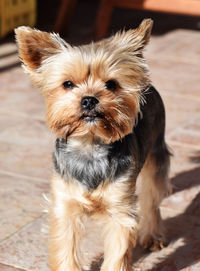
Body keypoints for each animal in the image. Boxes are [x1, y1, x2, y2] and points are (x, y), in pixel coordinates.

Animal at [15, 20, 170, 271]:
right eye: (67, 84)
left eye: (111, 84)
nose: (89, 99)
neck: (89, 145)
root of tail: (147, 84)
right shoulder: (65, 205)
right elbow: (67, 250)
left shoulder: (119, 208)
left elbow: (117, 252)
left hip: (156, 152)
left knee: (152, 198)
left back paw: (153, 236)